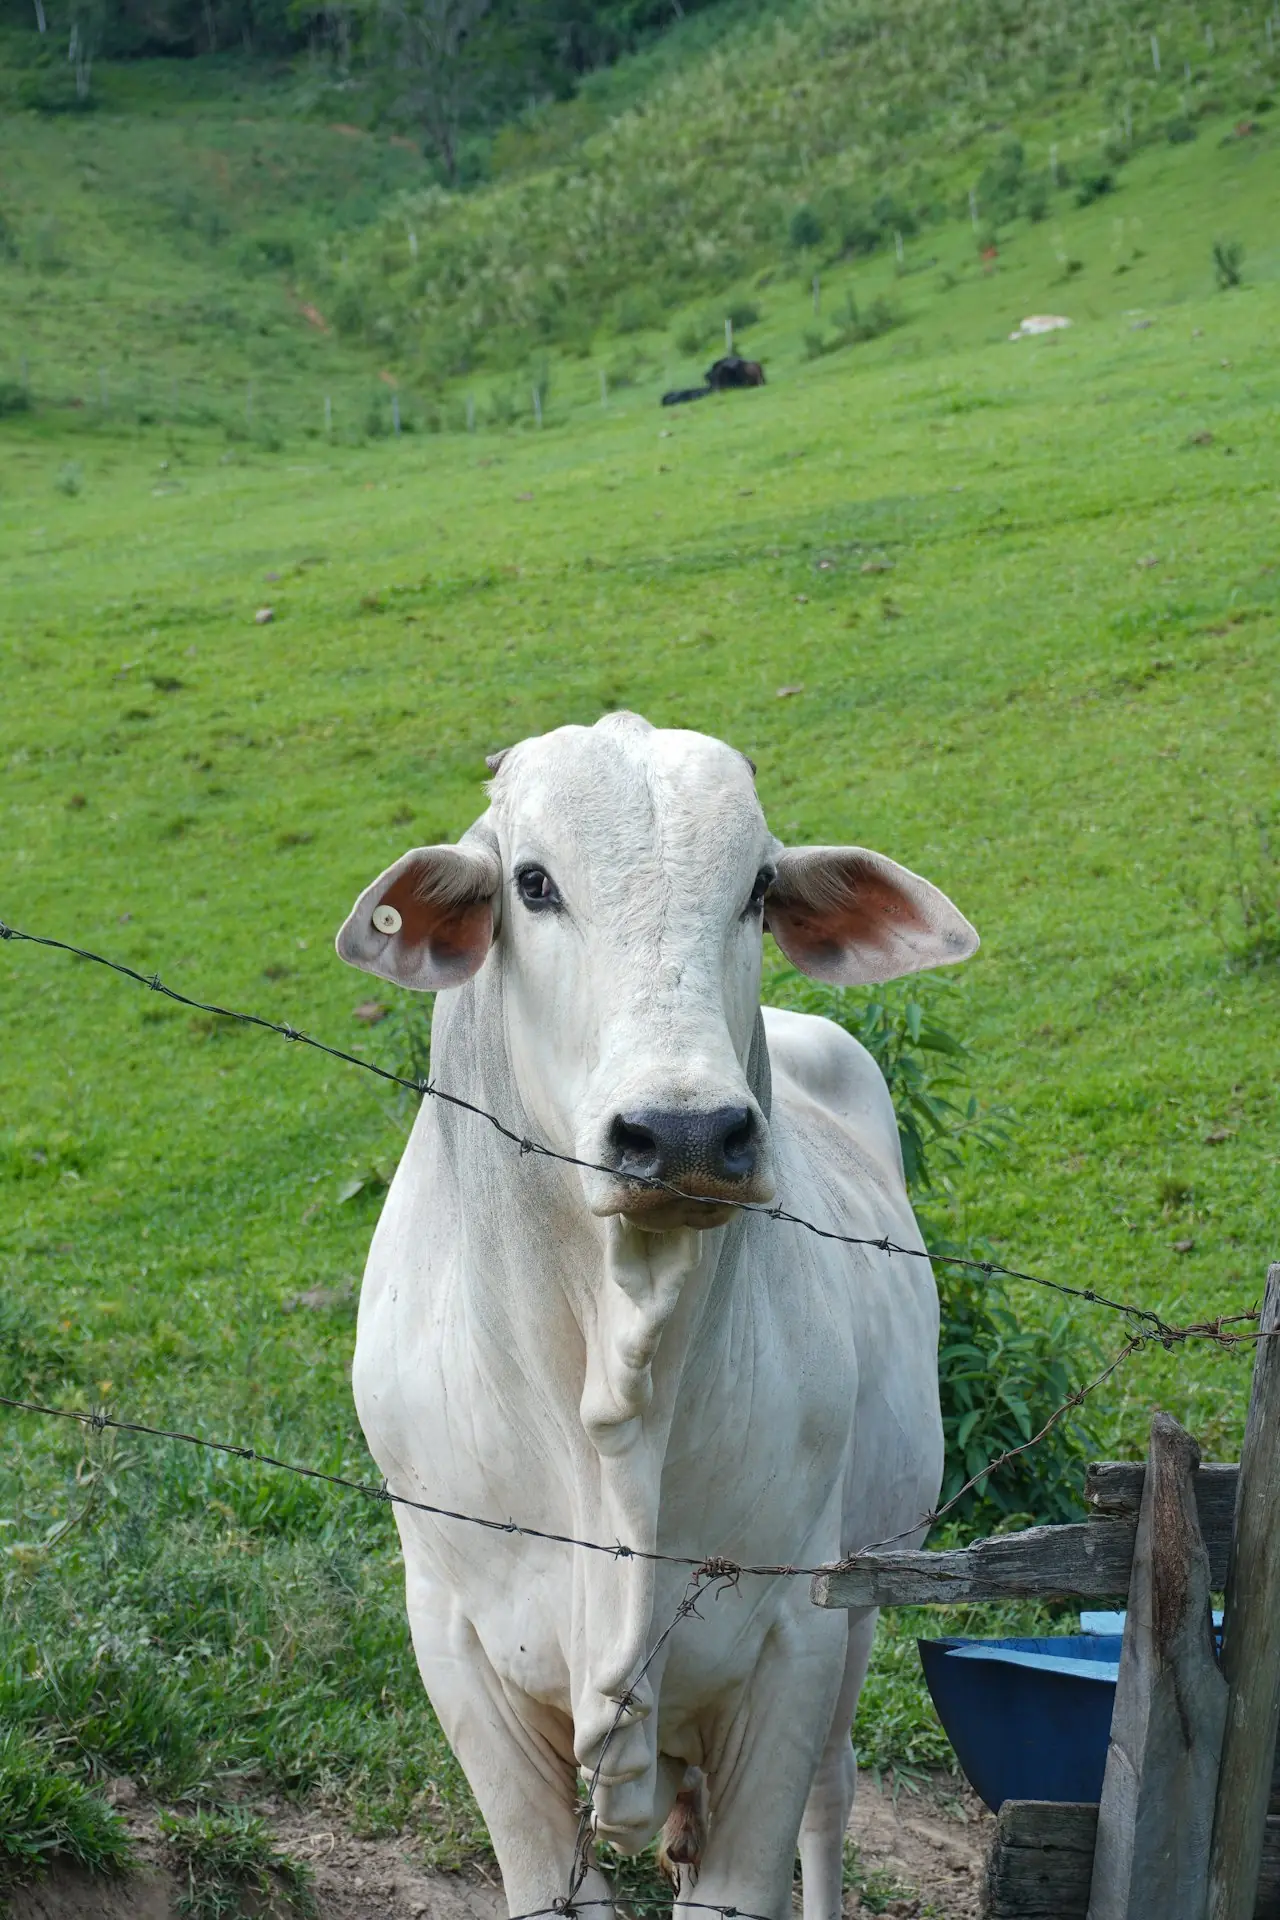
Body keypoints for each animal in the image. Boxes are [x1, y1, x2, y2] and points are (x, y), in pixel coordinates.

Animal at [335, 713, 978, 1920]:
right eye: (533, 883)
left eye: (758, 886)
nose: (684, 1135)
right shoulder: (457, 1648)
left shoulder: (794, 1637)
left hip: (864, 1604)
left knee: (832, 1795)